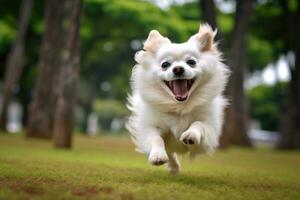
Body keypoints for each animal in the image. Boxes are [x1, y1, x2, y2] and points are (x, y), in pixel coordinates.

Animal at [126, 23, 230, 173]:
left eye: (191, 62)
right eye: (165, 65)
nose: (178, 69)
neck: (179, 106)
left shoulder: (209, 133)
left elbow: (199, 124)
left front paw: (191, 135)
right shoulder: (150, 128)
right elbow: (156, 139)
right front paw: (157, 156)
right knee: (169, 152)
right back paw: (173, 166)